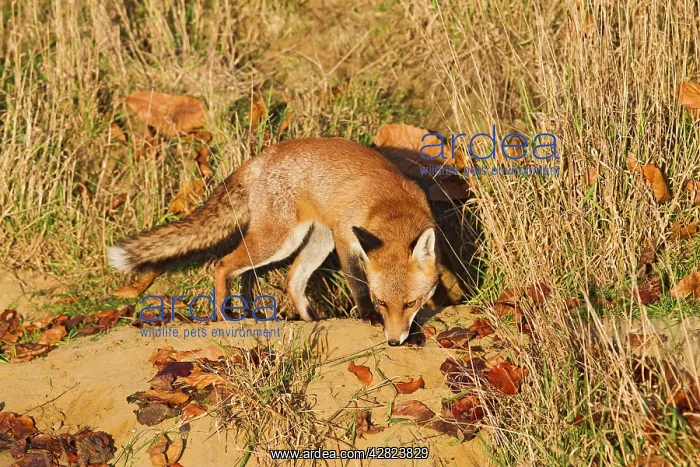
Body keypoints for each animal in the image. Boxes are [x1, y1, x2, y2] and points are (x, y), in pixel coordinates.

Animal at [108, 137, 440, 345]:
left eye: (410, 303)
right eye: (381, 302)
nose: (394, 342)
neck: (389, 206)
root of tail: (261, 157)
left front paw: (415, 331)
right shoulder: (346, 240)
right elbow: (358, 284)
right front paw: (368, 316)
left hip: (316, 241)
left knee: (293, 280)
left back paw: (310, 321)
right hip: (278, 241)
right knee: (222, 264)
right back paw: (223, 317)